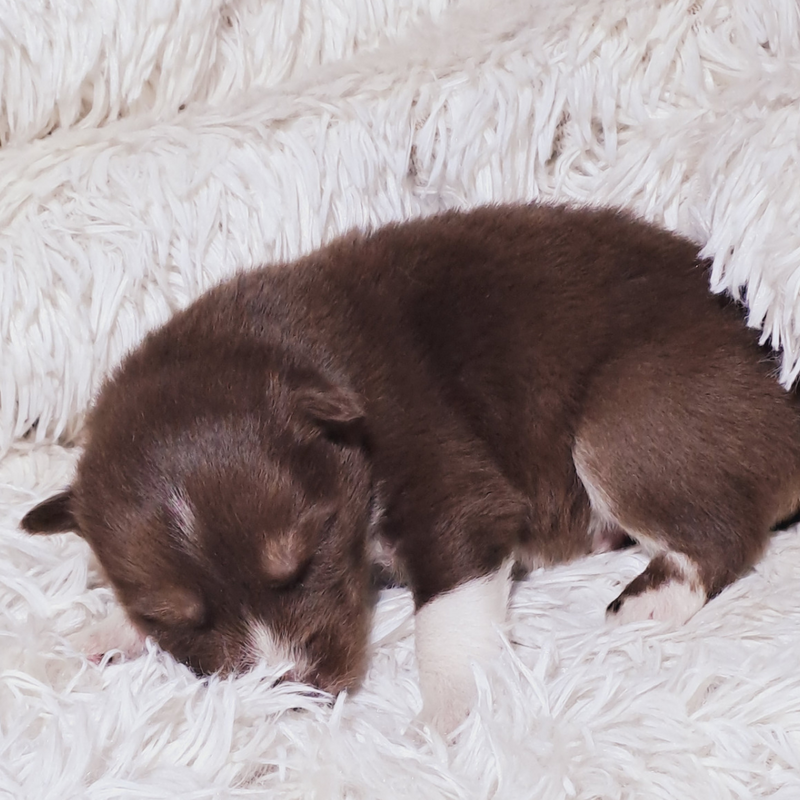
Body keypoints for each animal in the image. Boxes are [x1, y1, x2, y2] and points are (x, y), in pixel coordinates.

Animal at [20, 205, 800, 732]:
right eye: (177, 617)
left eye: (301, 564)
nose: (293, 690)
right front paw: (110, 631)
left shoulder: (451, 493)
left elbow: (448, 618)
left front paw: (453, 718)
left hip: (630, 419)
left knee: (718, 532)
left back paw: (647, 600)